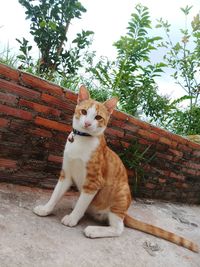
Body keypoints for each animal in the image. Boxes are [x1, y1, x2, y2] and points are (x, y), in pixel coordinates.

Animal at [33, 86, 198, 253]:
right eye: (84, 112)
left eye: (98, 117)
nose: (87, 123)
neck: (81, 140)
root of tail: (125, 213)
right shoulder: (66, 175)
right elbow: (56, 194)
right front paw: (46, 209)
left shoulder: (93, 183)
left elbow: (81, 204)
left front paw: (73, 218)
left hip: (120, 193)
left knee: (119, 229)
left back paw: (93, 229)